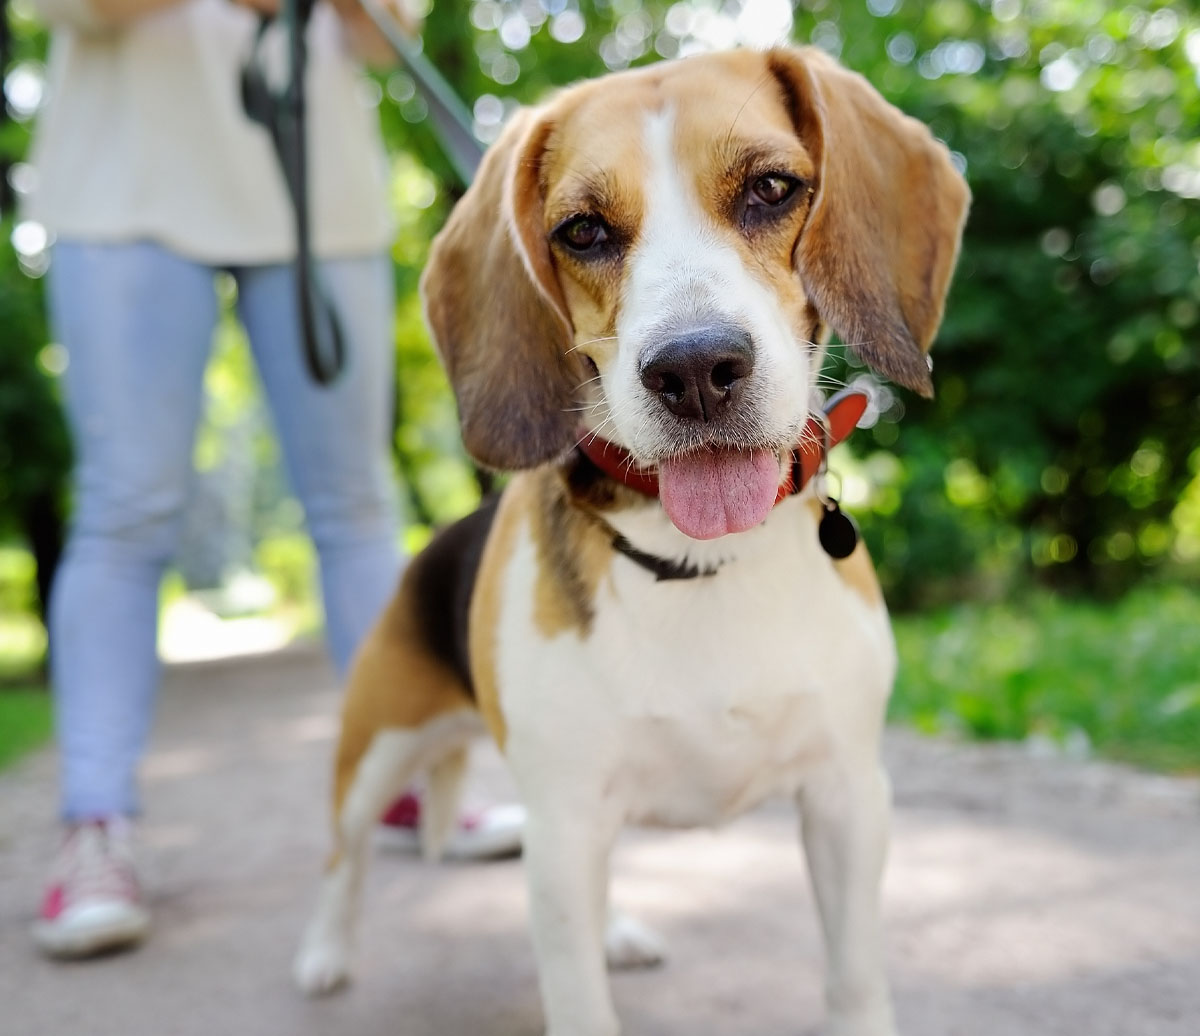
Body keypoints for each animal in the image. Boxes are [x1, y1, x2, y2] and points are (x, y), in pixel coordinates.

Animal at [295, 44, 969, 1036]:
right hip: (378, 752)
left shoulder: (848, 797)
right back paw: (326, 955)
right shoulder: (565, 819)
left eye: (771, 187)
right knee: (342, 860)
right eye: (581, 231)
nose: (694, 369)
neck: (703, 560)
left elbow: (853, 982)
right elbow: (577, 998)